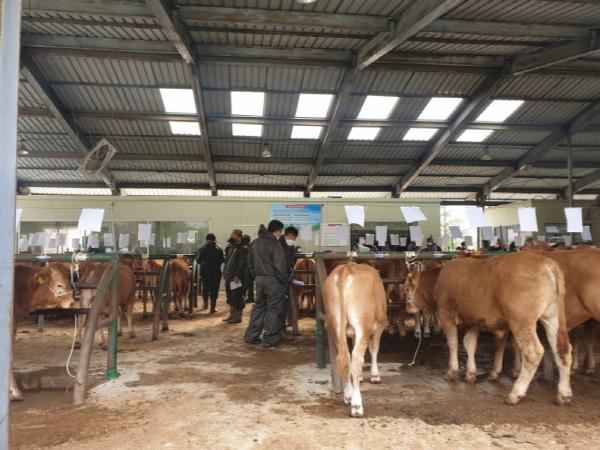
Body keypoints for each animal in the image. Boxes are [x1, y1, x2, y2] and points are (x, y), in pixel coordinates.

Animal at [323, 262, 387, 417]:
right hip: (362, 323)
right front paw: (375, 376)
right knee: (357, 359)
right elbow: (374, 349)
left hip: (334, 324)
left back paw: (348, 396)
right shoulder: (380, 325)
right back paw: (357, 405)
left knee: (345, 358)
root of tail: (347, 268)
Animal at [405, 252, 572, 406]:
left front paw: (451, 372)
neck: (438, 279)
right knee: (563, 349)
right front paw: (470, 374)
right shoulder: (474, 320)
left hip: (521, 321)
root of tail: (547, 263)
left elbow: (452, 342)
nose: (408, 309)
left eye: (406, 288)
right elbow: (469, 343)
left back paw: (515, 394)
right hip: (553, 317)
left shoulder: (446, 314)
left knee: (533, 353)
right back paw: (564, 394)